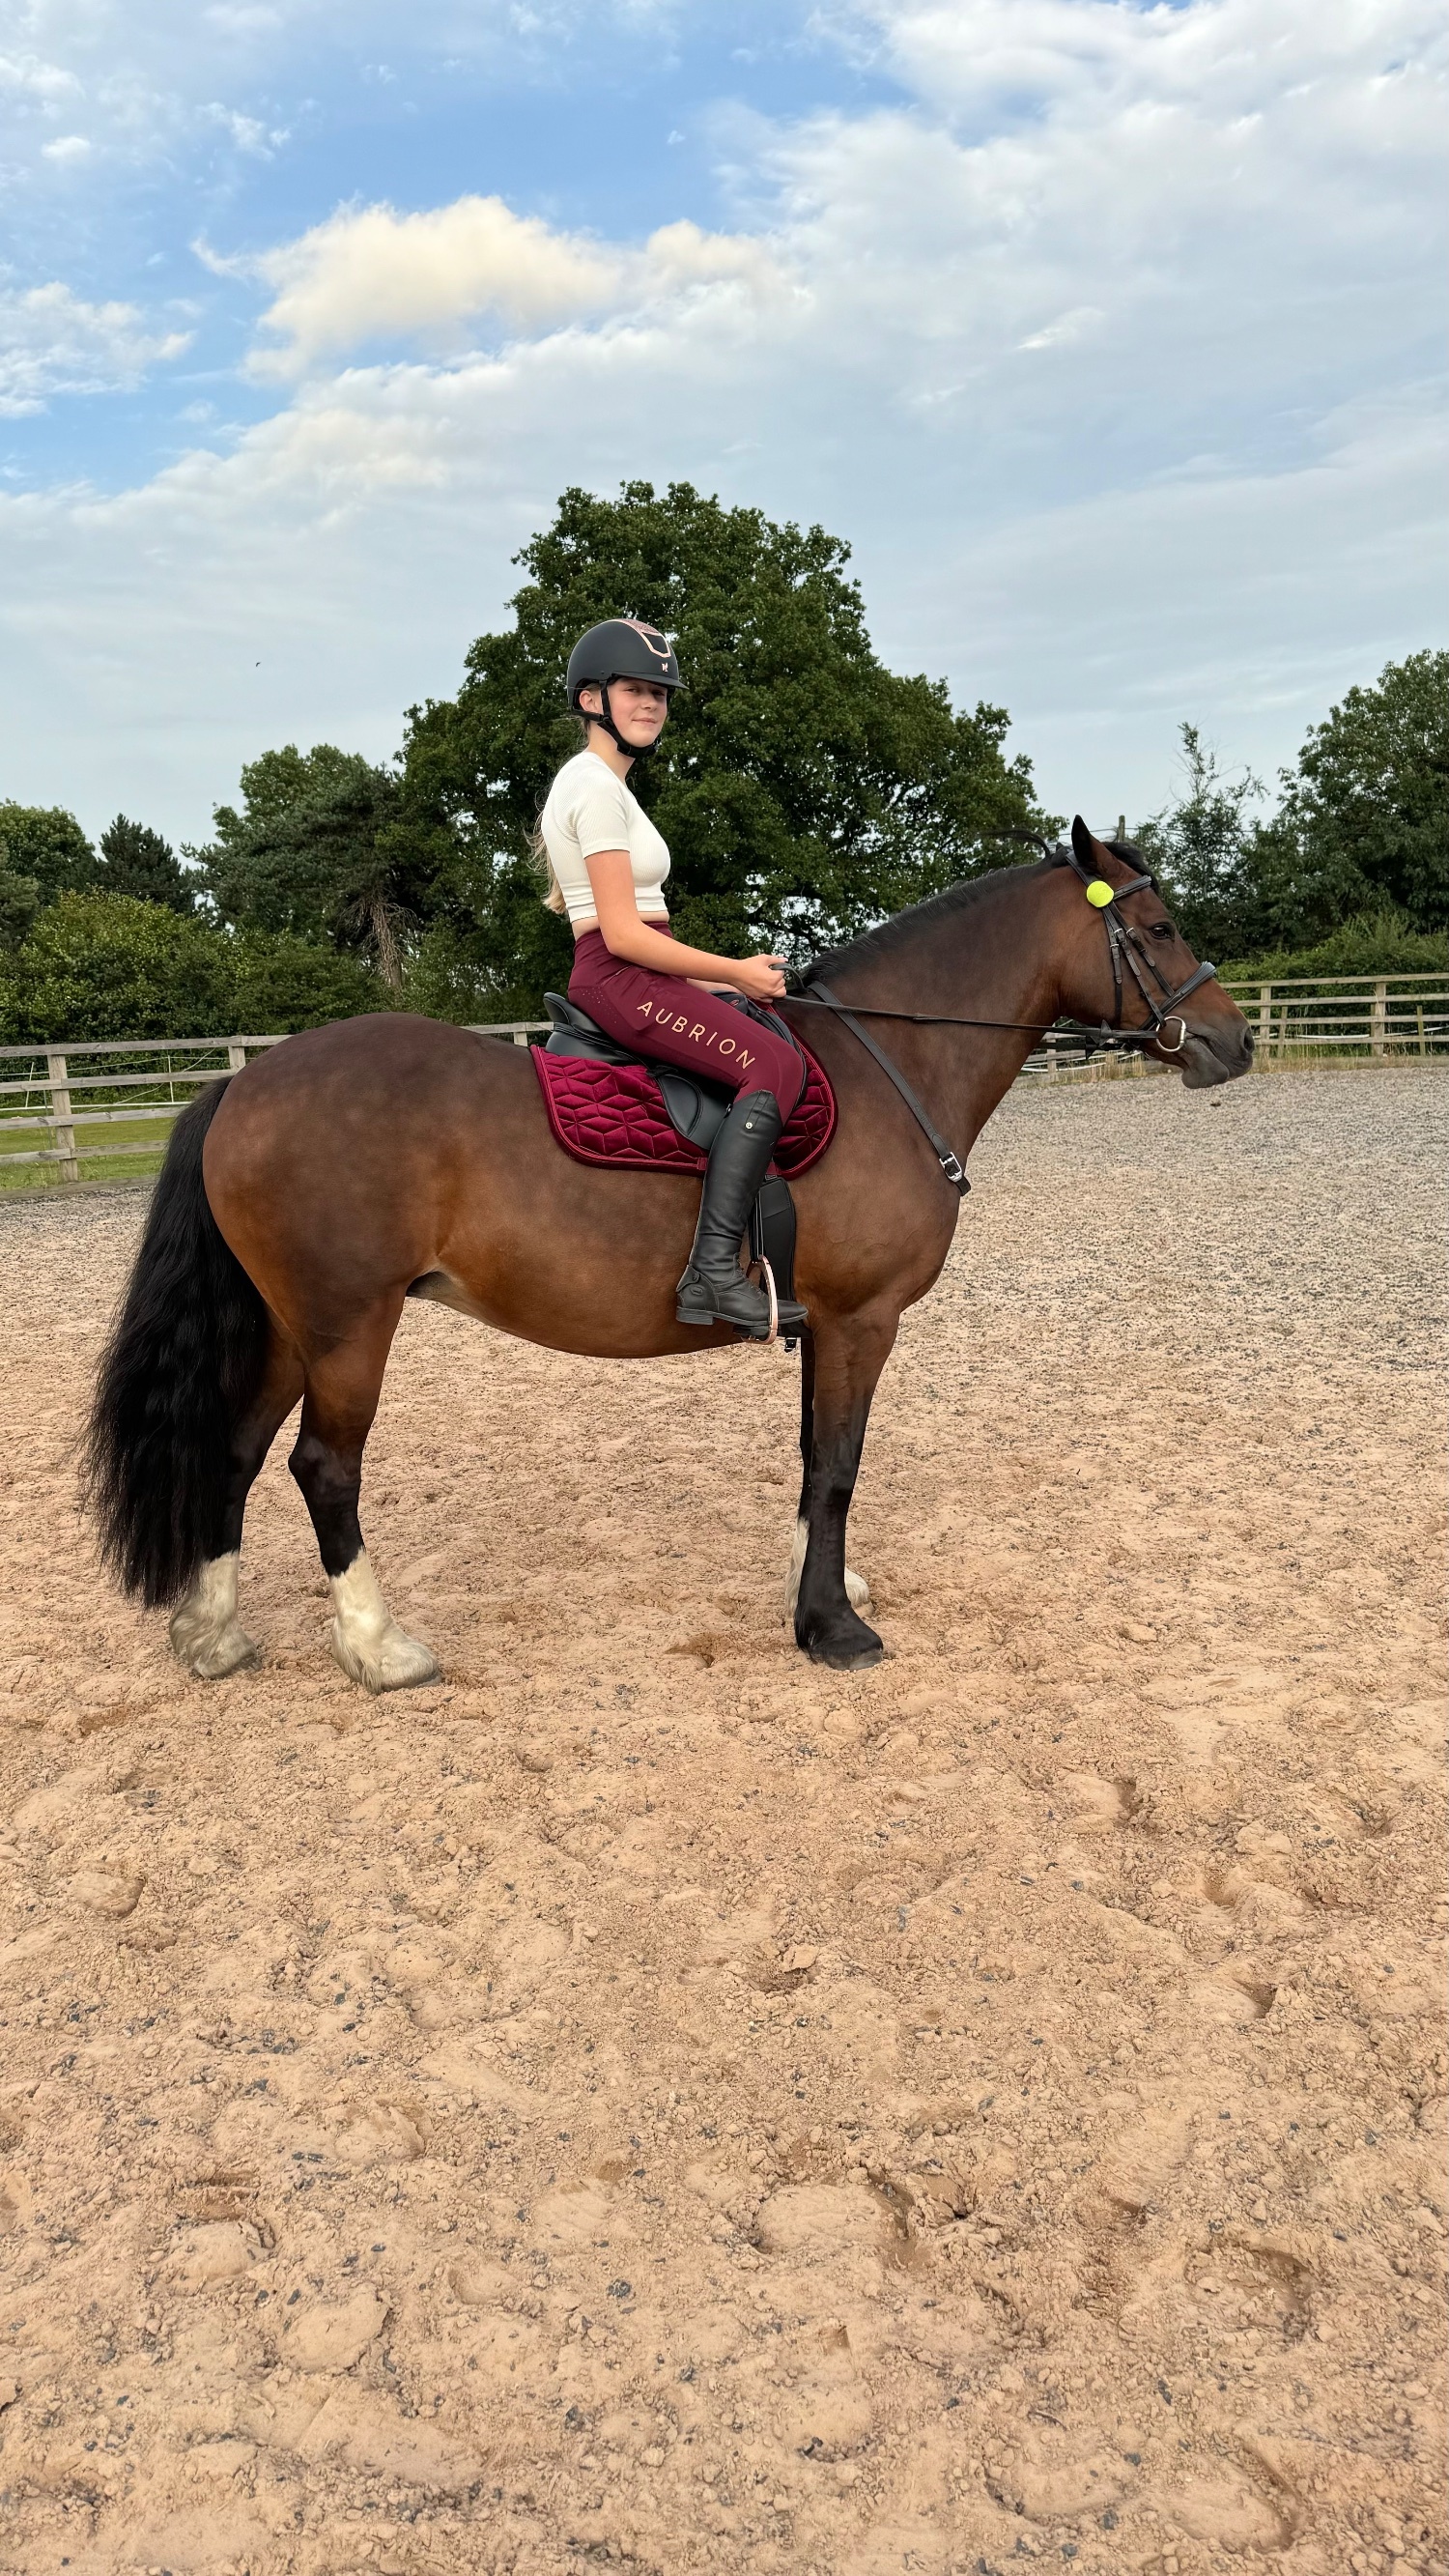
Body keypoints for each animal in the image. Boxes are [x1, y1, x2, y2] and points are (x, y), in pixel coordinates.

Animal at [84, 820, 1252, 1687]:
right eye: (1158, 924)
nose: (1235, 1043)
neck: (891, 1063)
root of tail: (244, 1080)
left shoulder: (821, 1322)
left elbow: (810, 1459)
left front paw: (817, 1591)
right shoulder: (864, 1318)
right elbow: (838, 1467)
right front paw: (832, 1629)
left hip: (293, 1325)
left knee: (235, 1451)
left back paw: (214, 1636)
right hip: (347, 1326)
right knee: (323, 1468)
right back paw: (380, 1648)